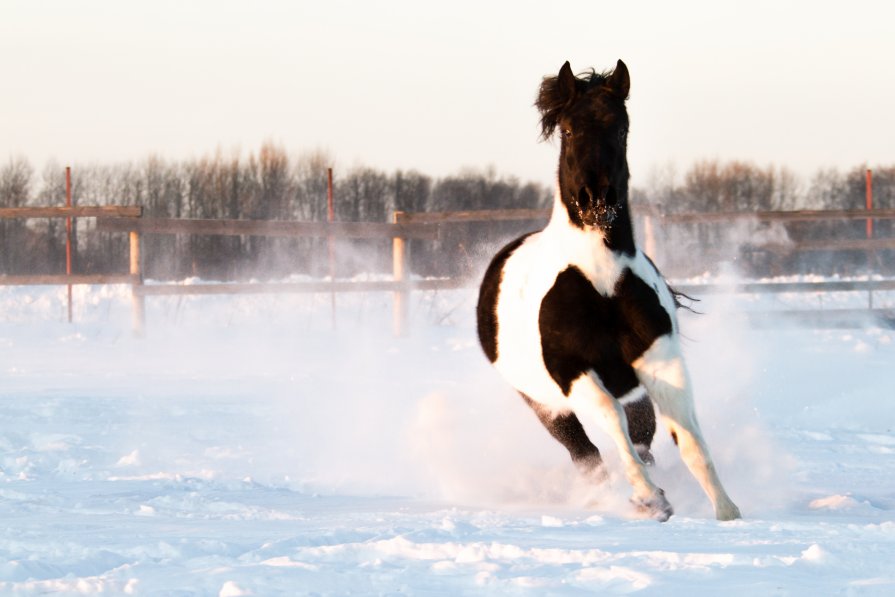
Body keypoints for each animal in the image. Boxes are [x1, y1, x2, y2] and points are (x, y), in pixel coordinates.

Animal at [476, 58, 744, 520]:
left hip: (627, 390)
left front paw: (728, 512)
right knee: (587, 456)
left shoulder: (659, 360)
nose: (595, 199)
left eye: (621, 128)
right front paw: (649, 498)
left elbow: (689, 441)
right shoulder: (572, 372)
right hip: (546, 406)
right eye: (567, 130)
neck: (601, 281)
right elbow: (611, 422)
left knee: (641, 439)